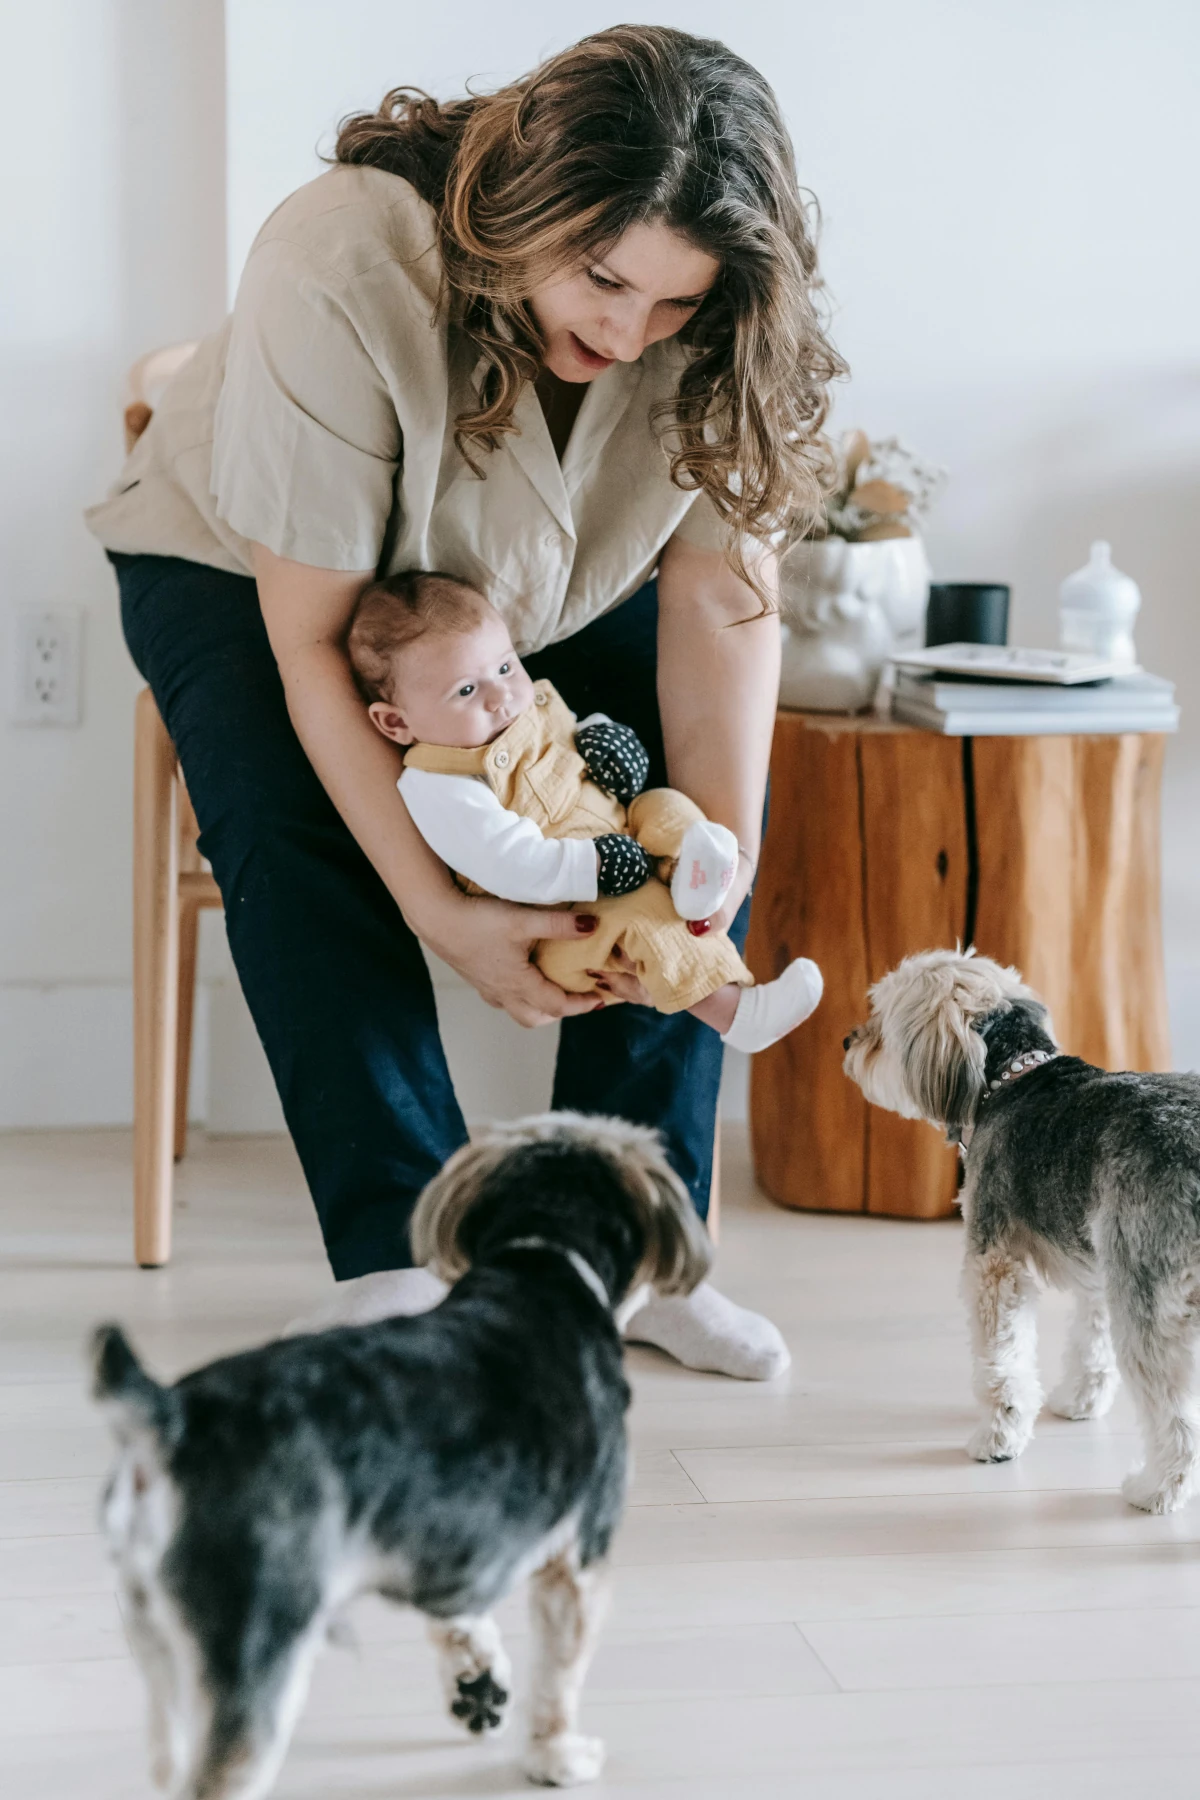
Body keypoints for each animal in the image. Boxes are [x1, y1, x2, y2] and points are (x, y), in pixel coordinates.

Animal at [841, 957, 1200, 1519]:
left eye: (882, 1015)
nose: (847, 1042)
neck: (1014, 1076)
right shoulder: (1098, 1262)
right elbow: (1091, 1343)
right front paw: (1080, 1401)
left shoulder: (994, 1265)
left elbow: (1001, 1365)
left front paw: (998, 1439)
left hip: (1152, 1300)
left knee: (1177, 1418)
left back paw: (1158, 1490)